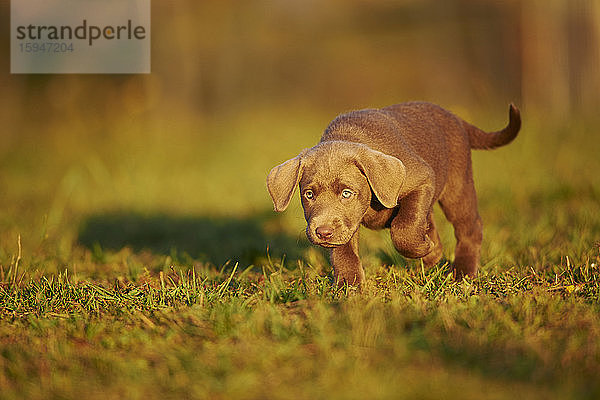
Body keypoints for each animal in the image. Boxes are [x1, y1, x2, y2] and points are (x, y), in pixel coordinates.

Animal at [268, 101, 520, 286]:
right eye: (309, 194)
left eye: (347, 193)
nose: (323, 232)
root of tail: (455, 118)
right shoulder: (344, 227)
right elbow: (343, 253)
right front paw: (350, 287)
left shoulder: (422, 180)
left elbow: (404, 228)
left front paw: (425, 249)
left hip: (457, 186)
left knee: (469, 227)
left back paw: (463, 272)